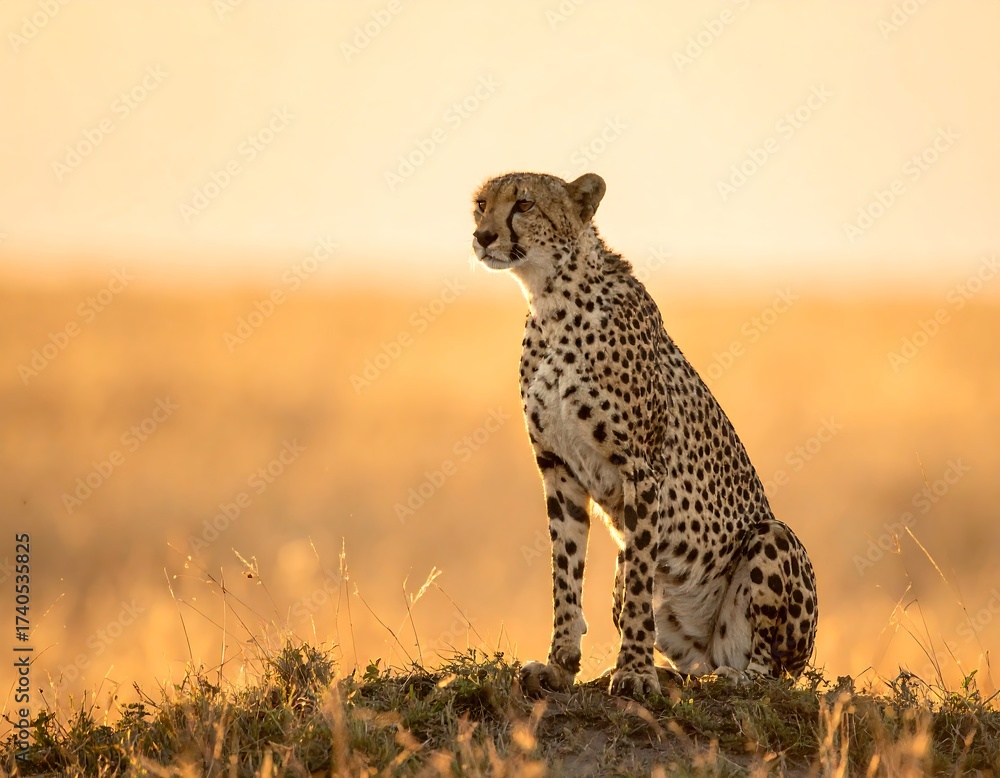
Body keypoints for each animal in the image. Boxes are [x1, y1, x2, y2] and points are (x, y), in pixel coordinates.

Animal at [470, 171, 818, 698]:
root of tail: (710, 652)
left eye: (524, 204)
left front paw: (633, 672)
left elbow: (638, 586)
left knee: (769, 671)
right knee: (684, 657)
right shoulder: (558, 469)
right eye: (481, 204)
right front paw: (561, 666)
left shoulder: (640, 470)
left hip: (773, 540)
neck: (551, 301)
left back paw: (732, 677)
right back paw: (664, 673)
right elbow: (565, 574)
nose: (484, 236)